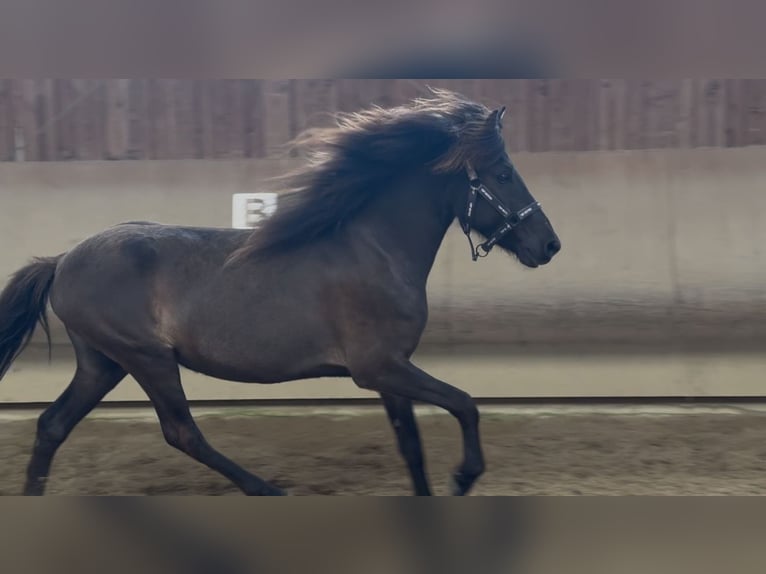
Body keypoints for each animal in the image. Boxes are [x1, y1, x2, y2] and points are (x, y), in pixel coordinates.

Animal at [0, 89, 561, 496]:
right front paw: (464, 476)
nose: (550, 244)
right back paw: (267, 490)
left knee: (52, 425)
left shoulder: (390, 372)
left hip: (103, 362)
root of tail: (62, 261)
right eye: (503, 174)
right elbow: (465, 404)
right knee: (182, 432)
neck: (375, 250)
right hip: (146, 358)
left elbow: (412, 447)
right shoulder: (379, 366)